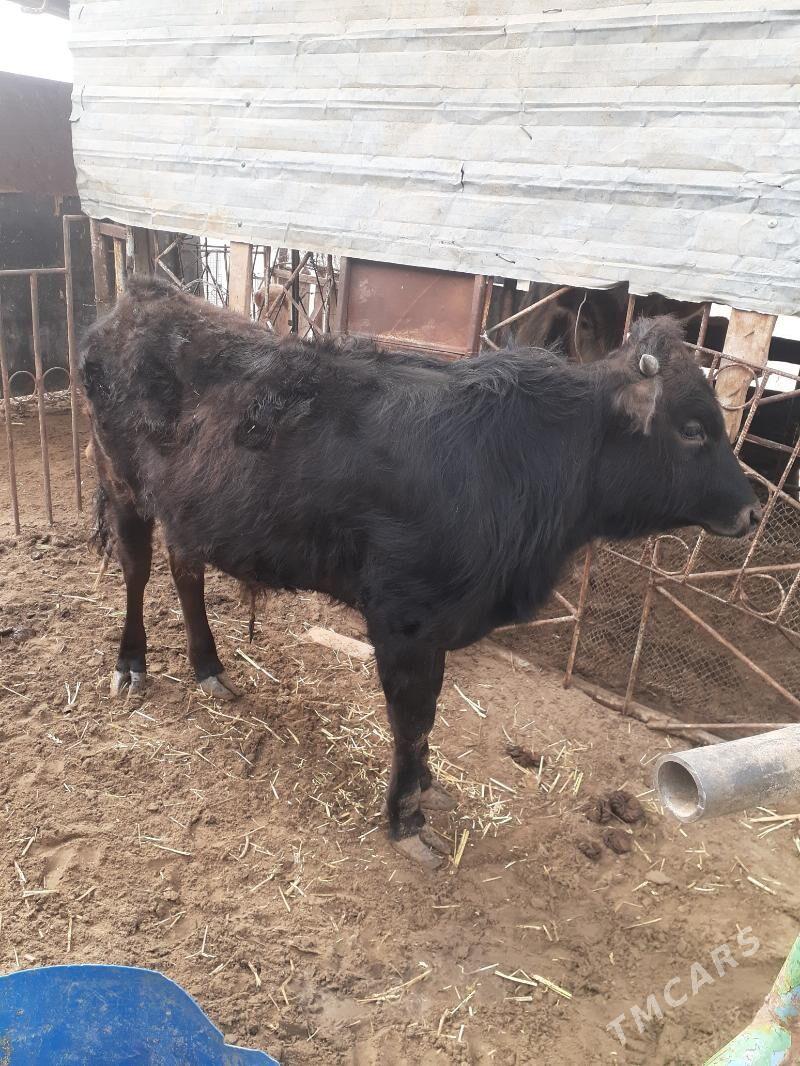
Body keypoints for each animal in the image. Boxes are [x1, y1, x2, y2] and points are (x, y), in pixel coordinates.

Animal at [80, 277, 761, 869]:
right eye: (692, 429)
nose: (753, 510)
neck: (524, 460)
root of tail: (141, 300)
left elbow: (427, 721)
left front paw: (429, 788)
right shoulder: (404, 621)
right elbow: (413, 720)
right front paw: (405, 817)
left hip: (191, 510)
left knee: (185, 572)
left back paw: (209, 666)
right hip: (123, 485)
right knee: (138, 570)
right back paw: (131, 664)